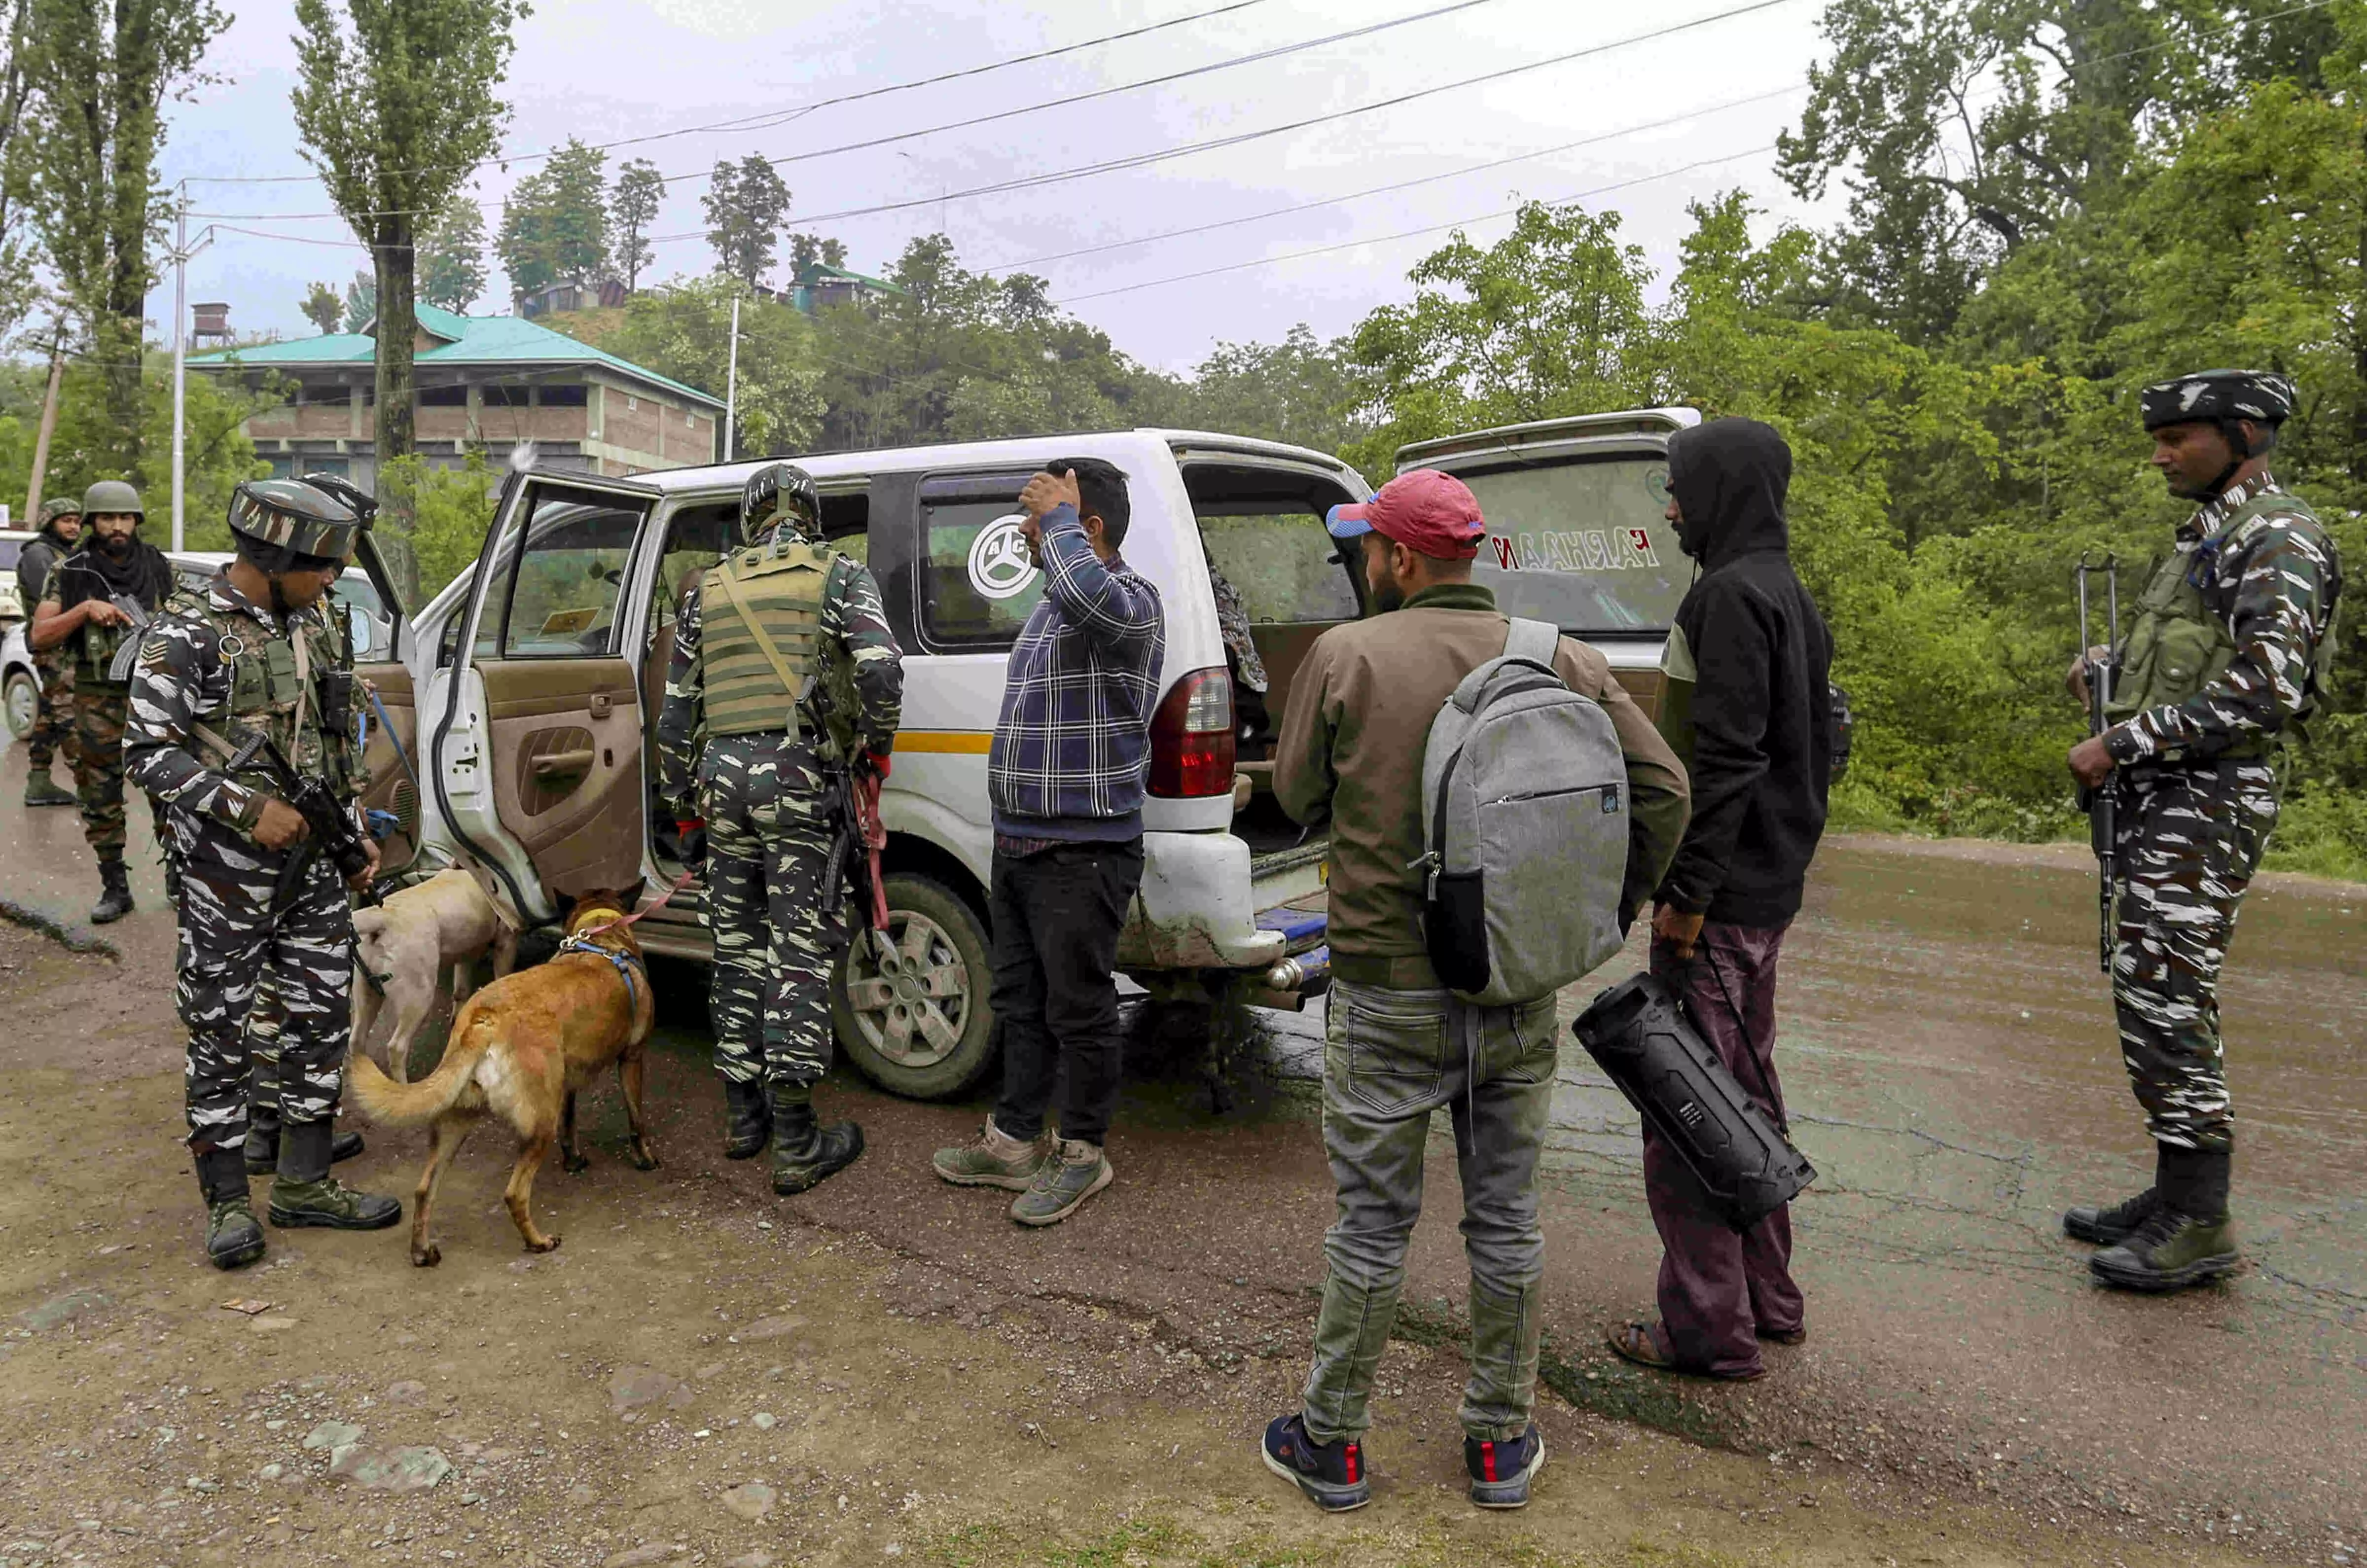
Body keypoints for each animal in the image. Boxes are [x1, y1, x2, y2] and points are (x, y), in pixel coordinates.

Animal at [345, 891, 658, 1269]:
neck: (600, 937)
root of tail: (484, 1021)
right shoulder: (632, 1058)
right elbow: (636, 1120)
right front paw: (645, 1159)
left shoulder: (568, 1083)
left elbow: (571, 1124)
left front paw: (574, 1160)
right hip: (539, 1125)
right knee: (515, 1193)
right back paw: (538, 1241)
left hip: (456, 1123)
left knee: (424, 1189)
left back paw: (422, 1250)